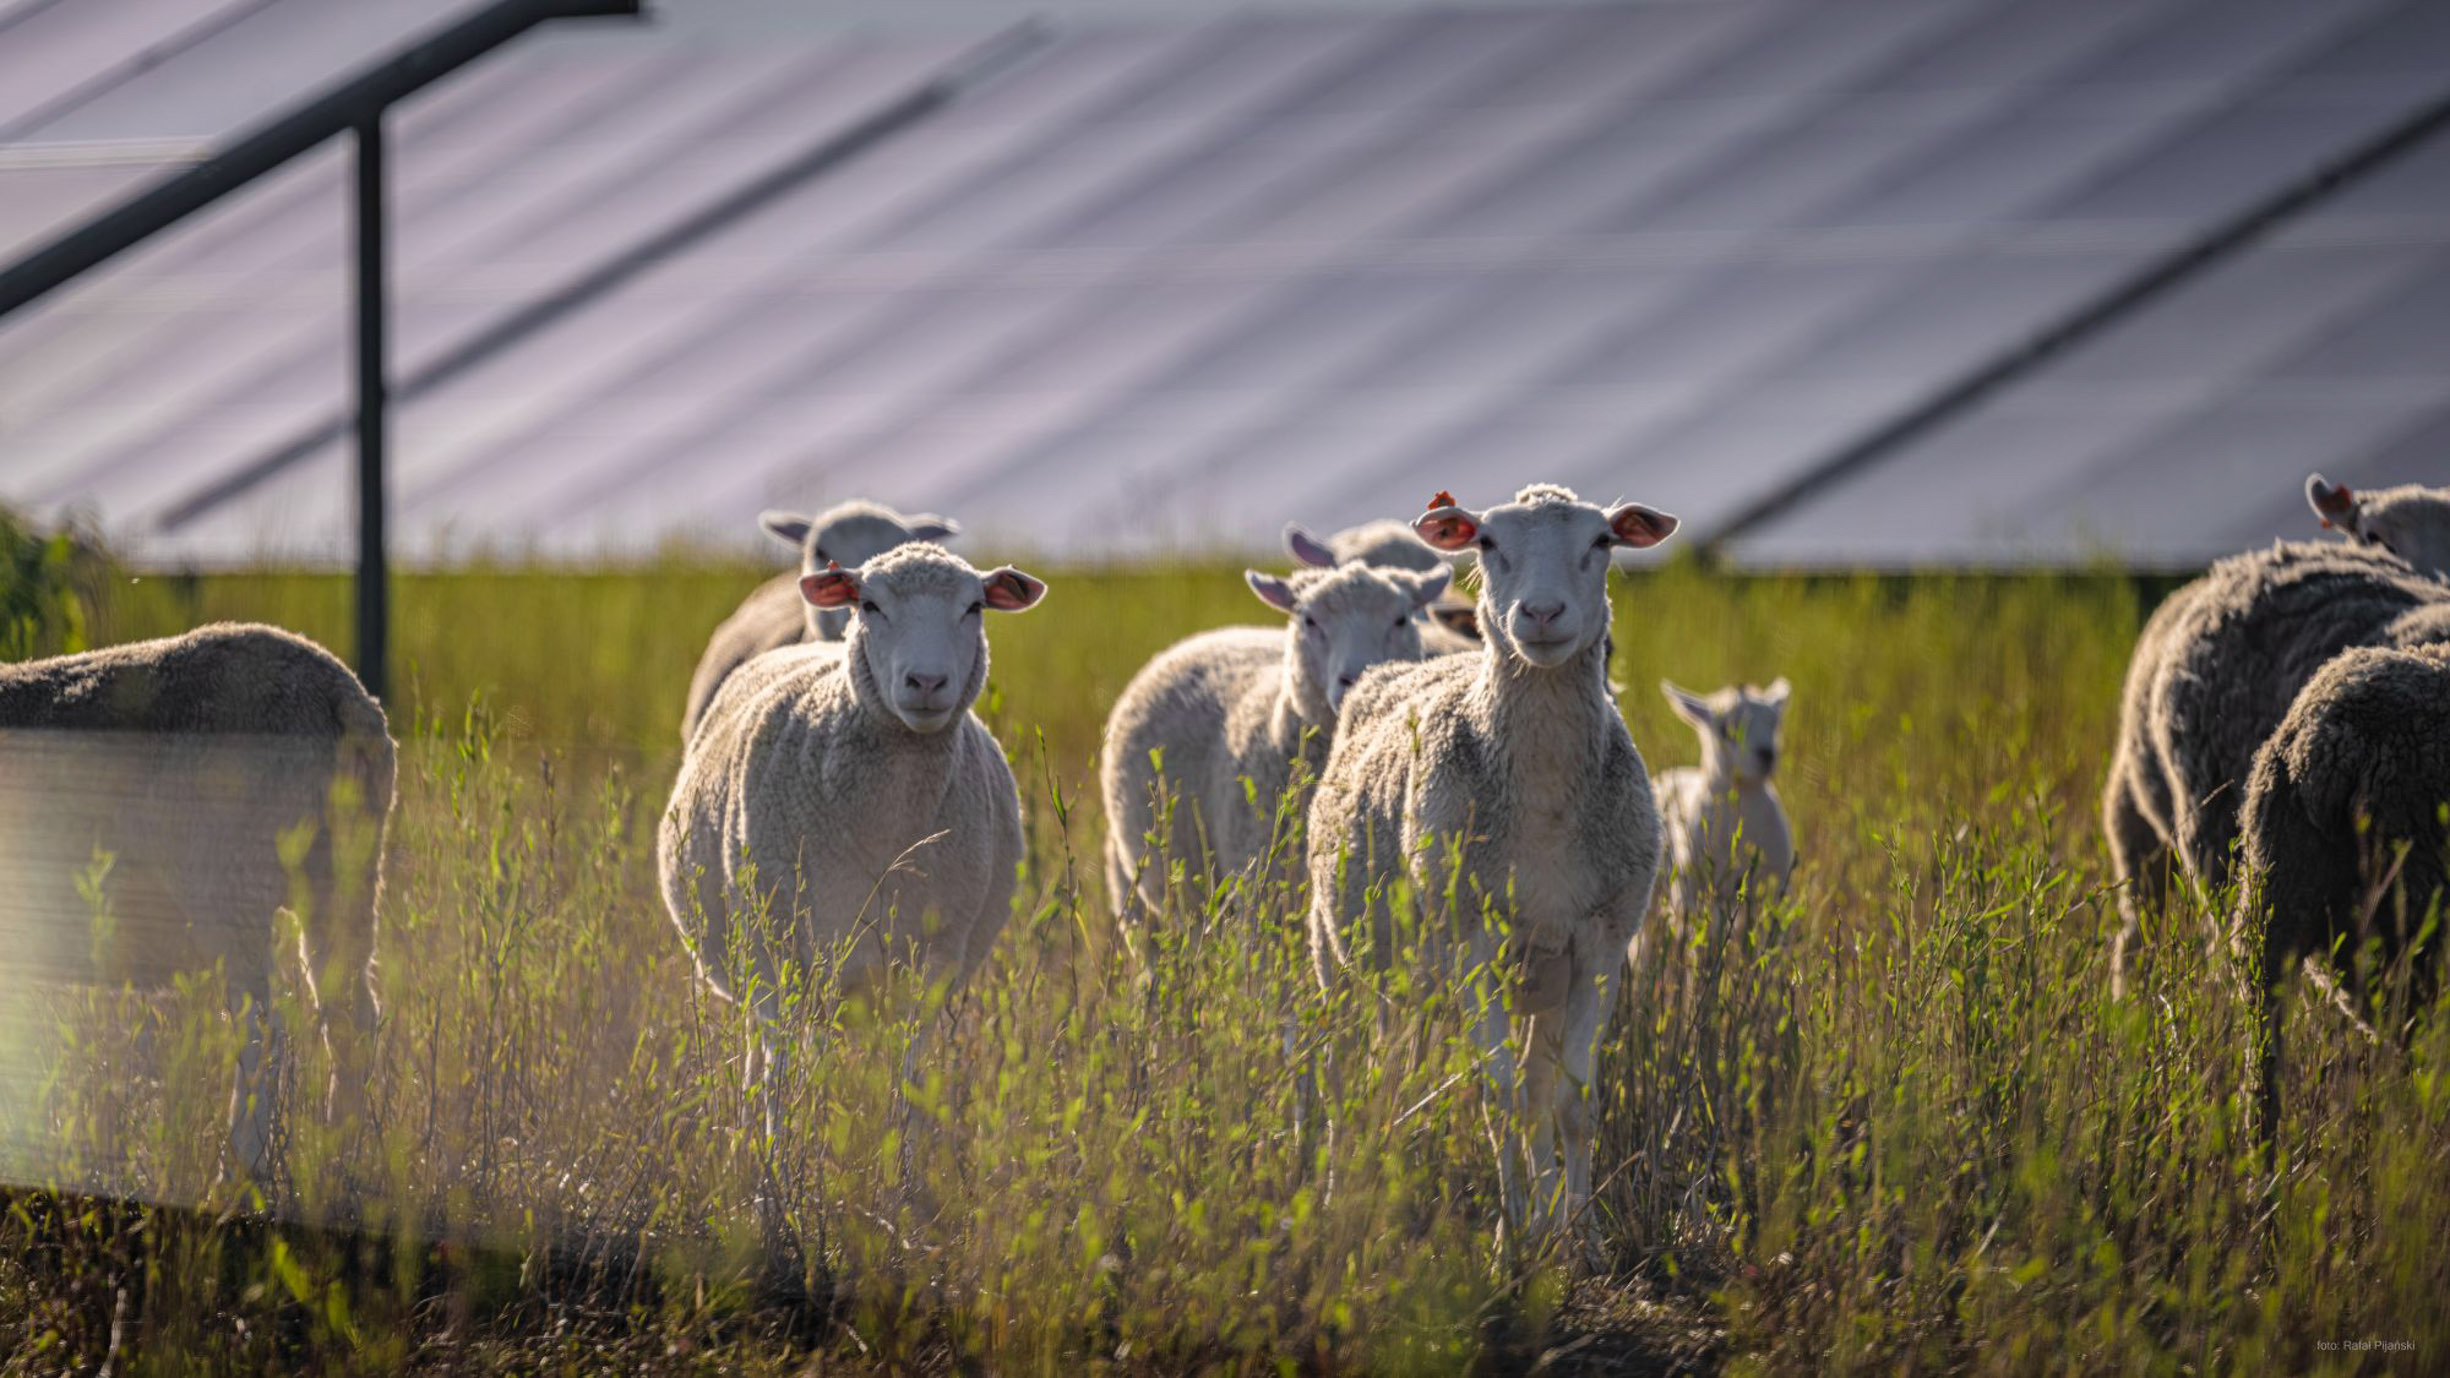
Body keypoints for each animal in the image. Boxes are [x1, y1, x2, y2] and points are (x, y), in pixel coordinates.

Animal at [0, 623, 393, 1182]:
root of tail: (347, 698)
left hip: (229, 877)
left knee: (263, 1031)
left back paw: (237, 1173)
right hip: (347, 874)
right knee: (350, 1018)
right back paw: (335, 1155)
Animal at [658, 543, 1044, 1226]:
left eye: (974, 606)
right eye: (871, 604)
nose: (926, 683)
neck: (891, 825)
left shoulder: (932, 960)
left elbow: (909, 1085)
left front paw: (904, 1194)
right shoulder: (781, 951)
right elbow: (782, 1083)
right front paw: (775, 1192)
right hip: (769, 961)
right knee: (768, 1061)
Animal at [1305, 483, 1678, 1247]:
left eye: (1602, 541)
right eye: (1486, 543)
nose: (1540, 614)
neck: (1543, 797)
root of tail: (1399, 670)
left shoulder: (1601, 939)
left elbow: (1571, 1099)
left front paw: (1579, 1238)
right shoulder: (1474, 937)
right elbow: (1500, 1097)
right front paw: (1511, 1241)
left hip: (1524, 976)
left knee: (1484, 1081)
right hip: (1339, 954)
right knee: (1345, 1076)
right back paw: (1341, 1195)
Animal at [1639, 679, 1794, 966]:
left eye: (1774, 723)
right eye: (1725, 730)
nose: (1766, 754)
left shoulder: (1770, 890)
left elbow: (1757, 943)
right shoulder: (1696, 891)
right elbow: (1703, 945)